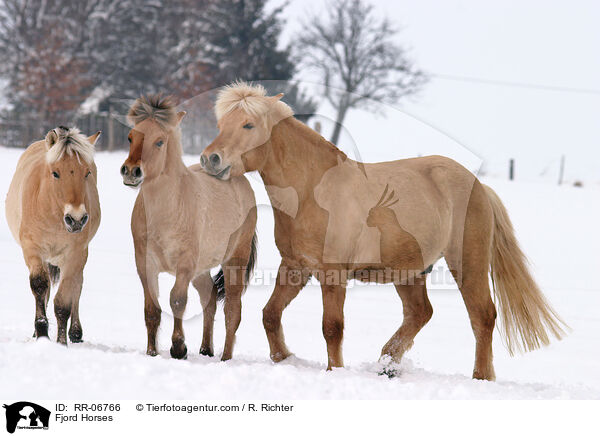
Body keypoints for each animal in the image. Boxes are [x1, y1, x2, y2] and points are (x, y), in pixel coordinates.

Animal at [5, 125, 101, 344]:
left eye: (87, 172)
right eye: (55, 173)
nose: (76, 219)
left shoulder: (74, 254)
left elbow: (64, 301)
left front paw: (61, 342)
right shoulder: (32, 249)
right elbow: (40, 286)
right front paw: (41, 332)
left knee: (77, 285)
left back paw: (75, 333)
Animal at [119, 95, 255, 362]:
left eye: (159, 141)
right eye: (131, 137)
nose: (131, 172)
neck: (167, 211)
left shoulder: (185, 264)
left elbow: (177, 301)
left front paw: (178, 348)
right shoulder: (145, 264)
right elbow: (152, 309)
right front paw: (152, 352)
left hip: (234, 260)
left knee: (232, 309)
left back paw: (225, 357)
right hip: (202, 269)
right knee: (209, 299)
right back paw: (205, 349)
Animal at [202, 82, 568, 382]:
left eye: (248, 125)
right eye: (221, 125)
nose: (210, 159)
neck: (312, 190)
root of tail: (478, 186)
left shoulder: (333, 274)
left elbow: (332, 328)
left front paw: (334, 370)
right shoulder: (295, 266)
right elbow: (270, 314)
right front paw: (284, 358)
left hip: (468, 263)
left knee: (483, 316)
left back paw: (480, 376)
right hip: (411, 271)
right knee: (420, 313)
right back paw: (387, 365)